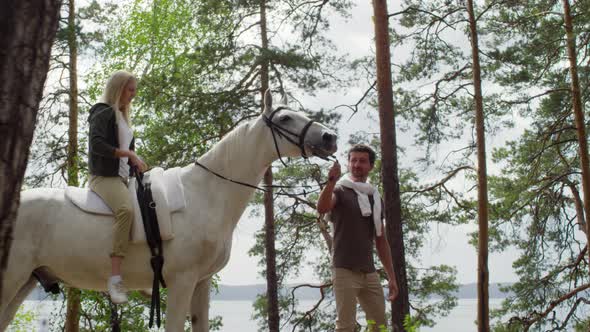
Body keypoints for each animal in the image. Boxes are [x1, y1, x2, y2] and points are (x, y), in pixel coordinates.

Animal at [1, 89, 338, 330]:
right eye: (285, 120)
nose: (329, 137)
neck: (205, 193)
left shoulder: (200, 283)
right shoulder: (181, 282)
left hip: (25, 281)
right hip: (13, 276)